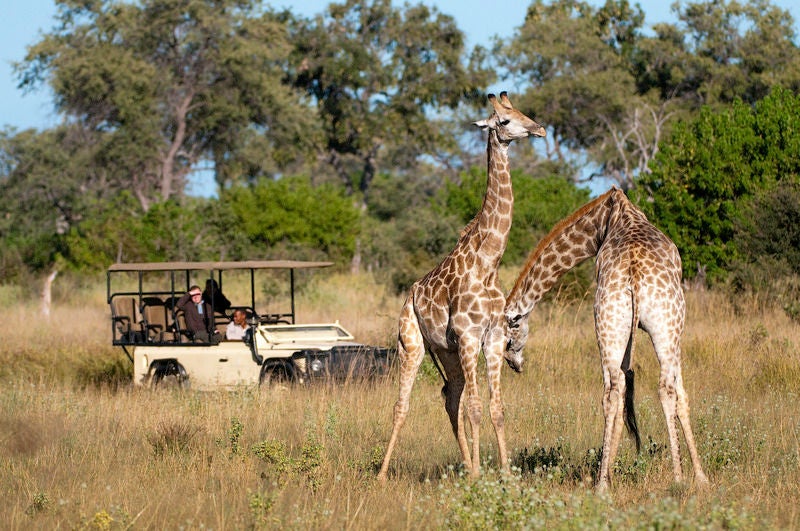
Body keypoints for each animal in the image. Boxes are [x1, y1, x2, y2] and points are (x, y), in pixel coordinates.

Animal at [376, 92, 544, 482]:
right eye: (503, 121)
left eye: (521, 111)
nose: (539, 129)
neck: (488, 263)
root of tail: (410, 293)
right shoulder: (469, 337)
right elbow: (477, 408)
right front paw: (483, 475)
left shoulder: (493, 338)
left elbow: (495, 409)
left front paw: (505, 475)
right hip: (411, 344)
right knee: (402, 405)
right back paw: (381, 474)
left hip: (446, 351)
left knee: (450, 398)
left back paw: (467, 466)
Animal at [504, 187, 708, 490]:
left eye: (508, 337)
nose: (514, 364)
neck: (600, 223)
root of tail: (634, 272)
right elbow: (677, 395)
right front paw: (700, 476)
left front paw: (701, 477)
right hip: (659, 326)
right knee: (657, 388)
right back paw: (673, 477)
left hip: (616, 324)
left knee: (615, 391)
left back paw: (606, 482)